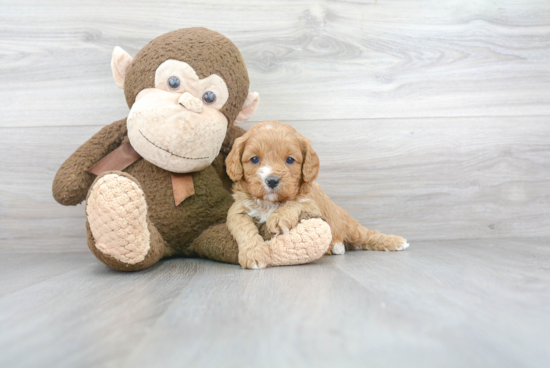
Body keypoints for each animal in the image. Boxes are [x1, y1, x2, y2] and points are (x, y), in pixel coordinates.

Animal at [224, 122, 410, 268]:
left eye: (290, 160)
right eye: (254, 159)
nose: (272, 180)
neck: (270, 203)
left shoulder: (313, 204)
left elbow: (295, 202)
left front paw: (279, 217)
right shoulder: (237, 210)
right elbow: (244, 228)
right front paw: (254, 254)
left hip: (351, 227)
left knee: (369, 235)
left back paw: (396, 242)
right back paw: (336, 247)